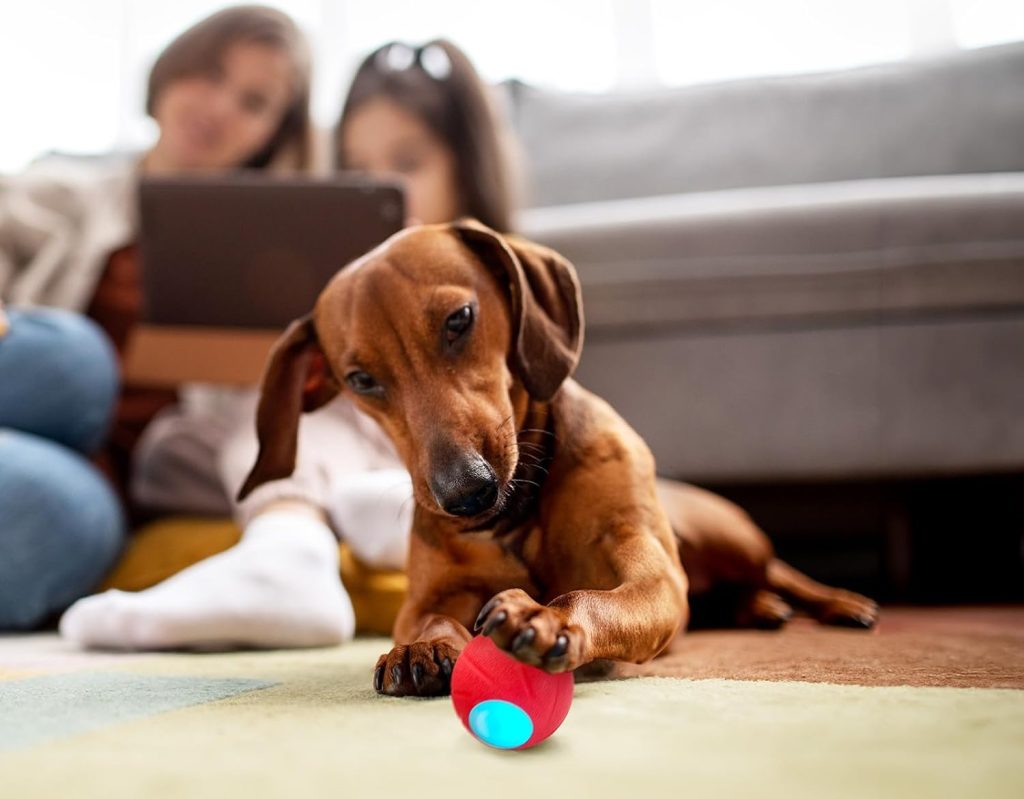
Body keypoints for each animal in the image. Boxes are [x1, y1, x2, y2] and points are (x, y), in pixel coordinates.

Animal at [239, 221, 880, 696]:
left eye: (459, 320)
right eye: (361, 379)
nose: (465, 494)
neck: (520, 512)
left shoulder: (652, 572)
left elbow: (589, 596)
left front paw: (546, 618)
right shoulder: (430, 593)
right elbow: (426, 618)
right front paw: (425, 645)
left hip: (730, 538)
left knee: (779, 569)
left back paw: (837, 602)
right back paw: (760, 609)